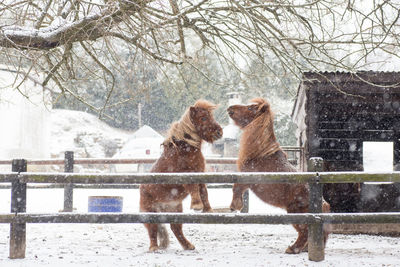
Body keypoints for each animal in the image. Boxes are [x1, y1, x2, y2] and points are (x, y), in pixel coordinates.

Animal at [140, 100, 222, 253]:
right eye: (203, 118)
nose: (219, 132)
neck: (185, 149)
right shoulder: (186, 176)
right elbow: (194, 189)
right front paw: (197, 206)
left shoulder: (200, 174)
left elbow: (204, 191)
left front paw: (208, 209)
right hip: (150, 212)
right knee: (152, 229)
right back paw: (154, 247)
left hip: (175, 209)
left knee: (175, 228)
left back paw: (188, 245)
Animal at [227, 98, 330, 255]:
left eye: (251, 108)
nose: (230, 108)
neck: (261, 154)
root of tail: (323, 203)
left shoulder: (248, 178)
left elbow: (236, 188)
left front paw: (235, 206)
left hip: (295, 213)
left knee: (304, 232)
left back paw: (293, 249)